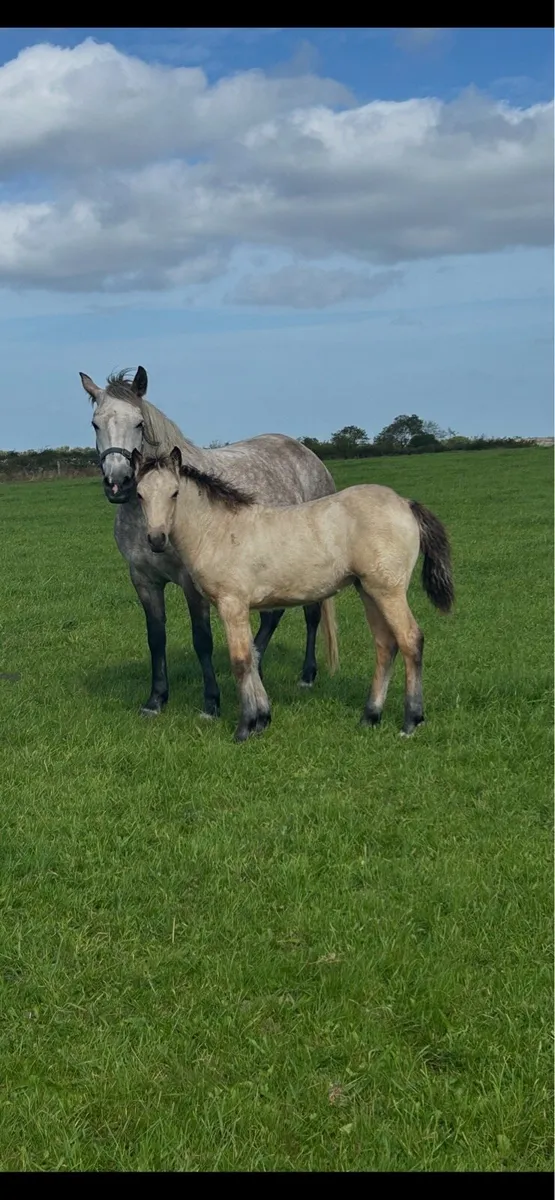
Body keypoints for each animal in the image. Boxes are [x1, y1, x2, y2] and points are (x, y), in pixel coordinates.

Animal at [79, 367, 337, 717]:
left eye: (139, 423)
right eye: (95, 423)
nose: (118, 482)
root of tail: (308, 456)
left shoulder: (192, 582)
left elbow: (202, 638)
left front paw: (211, 702)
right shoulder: (143, 579)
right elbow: (155, 638)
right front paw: (156, 699)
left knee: (311, 614)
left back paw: (307, 675)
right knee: (272, 615)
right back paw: (256, 665)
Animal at [131, 446, 455, 743]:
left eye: (174, 493)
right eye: (140, 494)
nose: (156, 539)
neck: (220, 531)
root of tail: (404, 503)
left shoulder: (231, 604)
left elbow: (241, 660)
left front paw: (245, 727)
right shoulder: (241, 608)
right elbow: (253, 655)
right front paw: (262, 719)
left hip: (388, 591)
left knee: (411, 640)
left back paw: (411, 721)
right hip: (368, 591)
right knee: (386, 645)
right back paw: (370, 716)